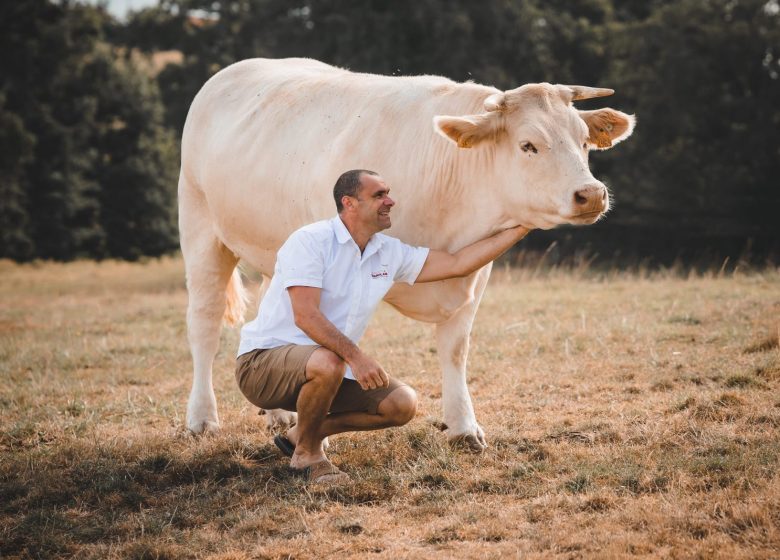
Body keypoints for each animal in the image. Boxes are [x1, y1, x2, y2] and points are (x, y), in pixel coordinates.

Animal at [178, 58, 632, 450]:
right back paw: (202, 418)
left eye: (584, 141)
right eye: (528, 145)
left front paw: (463, 427)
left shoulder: (471, 274)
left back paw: (279, 415)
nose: (591, 194)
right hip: (200, 229)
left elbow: (455, 349)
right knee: (204, 325)